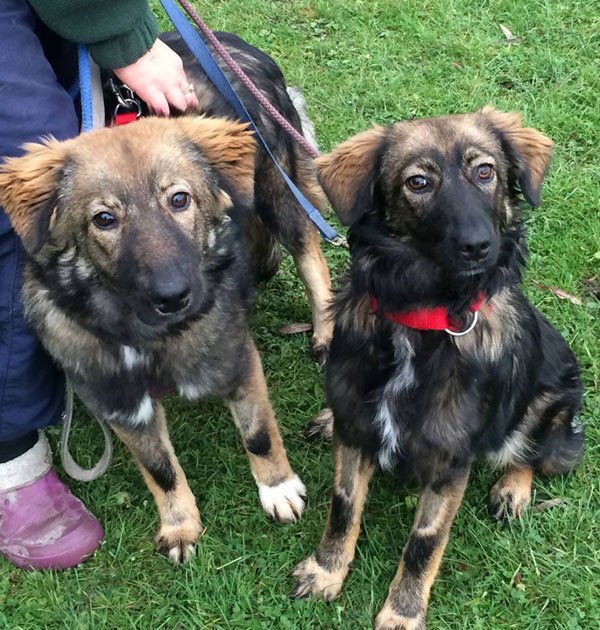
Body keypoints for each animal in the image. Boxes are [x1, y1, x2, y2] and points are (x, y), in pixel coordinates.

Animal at [0, 30, 332, 564]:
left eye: (179, 200)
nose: (175, 296)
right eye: (104, 219)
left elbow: (258, 436)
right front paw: (180, 526)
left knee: (311, 255)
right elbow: (160, 469)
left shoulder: (237, 362)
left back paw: (324, 330)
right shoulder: (119, 400)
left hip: (277, 189)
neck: (149, 333)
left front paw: (278, 490)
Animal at [292, 106, 584, 628]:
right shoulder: (356, 432)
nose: (479, 246)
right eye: (419, 182)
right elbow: (343, 507)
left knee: (532, 452)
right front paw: (327, 571)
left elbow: (424, 543)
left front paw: (403, 613)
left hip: (553, 403)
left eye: (485, 172)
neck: (421, 317)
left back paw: (513, 489)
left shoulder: (451, 462)